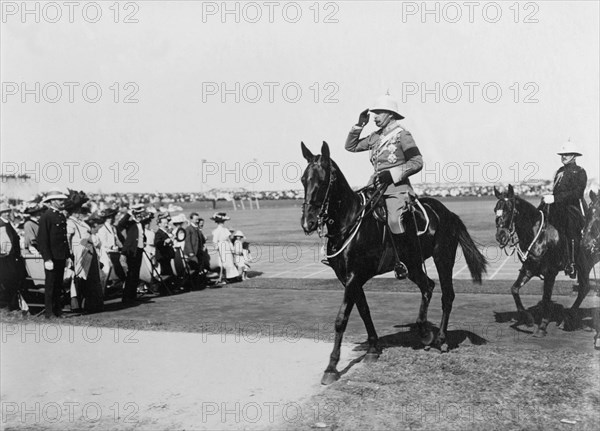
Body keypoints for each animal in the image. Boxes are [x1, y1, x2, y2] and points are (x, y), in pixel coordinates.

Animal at [300, 143, 488, 386]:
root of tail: (448, 212)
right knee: (428, 286)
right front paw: (373, 348)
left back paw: (440, 339)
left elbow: (341, 319)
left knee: (447, 295)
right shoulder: (349, 279)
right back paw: (424, 332)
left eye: (323, 180)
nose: (308, 222)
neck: (350, 222)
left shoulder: (353, 277)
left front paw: (332, 366)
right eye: (303, 179)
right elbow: (364, 311)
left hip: (443, 258)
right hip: (413, 264)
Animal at [492, 184, 596, 336]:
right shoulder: (528, 269)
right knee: (584, 288)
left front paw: (542, 326)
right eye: (495, 210)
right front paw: (528, 319)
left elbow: (546, 298)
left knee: (584, 288)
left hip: (585, 265)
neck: (540, 236)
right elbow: (514, 289)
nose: (501, 236)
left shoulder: (550, 272)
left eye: (509, 209)